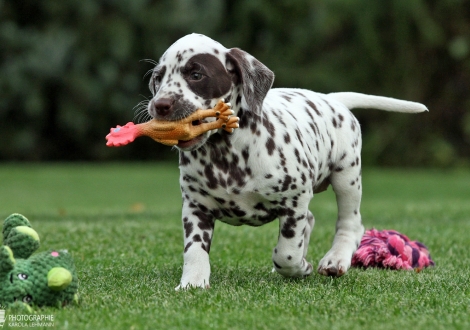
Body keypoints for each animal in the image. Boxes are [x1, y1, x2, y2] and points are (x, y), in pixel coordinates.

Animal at [145, 32, 428, 288]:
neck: (226, 155)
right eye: (158, 78)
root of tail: (332, 99)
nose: (160, 105)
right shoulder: (195, 207)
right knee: (312, 220)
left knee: (350, 223)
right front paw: (193, 282)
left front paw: (299, 267)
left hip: (347, 177)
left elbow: (287, 252)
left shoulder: (295, 199)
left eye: (196, 75)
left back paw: (335, 259)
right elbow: (195, 250)